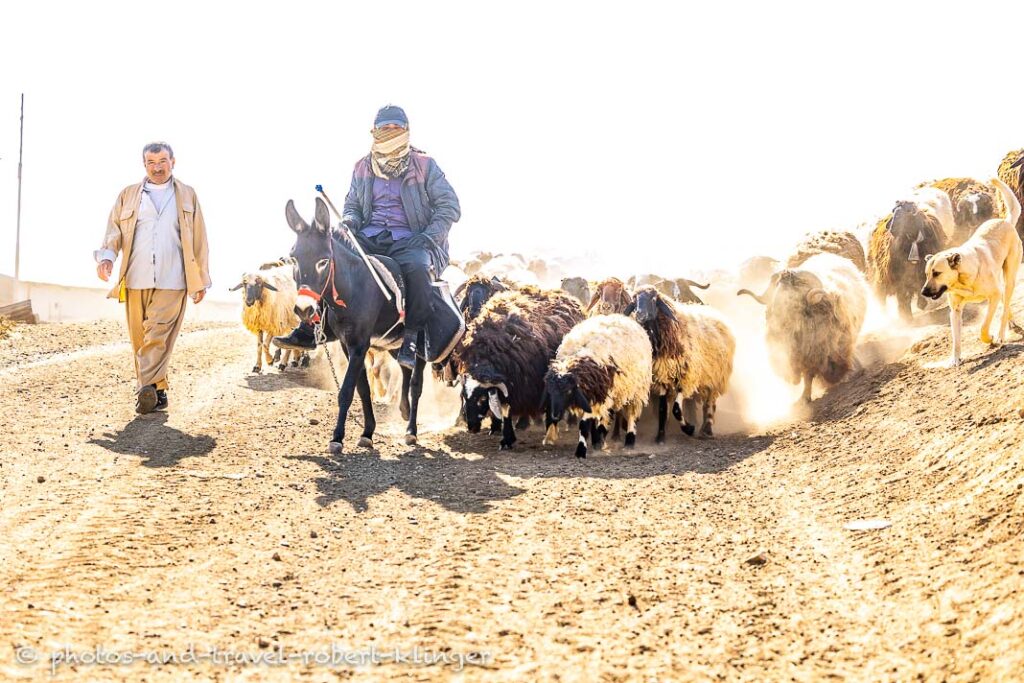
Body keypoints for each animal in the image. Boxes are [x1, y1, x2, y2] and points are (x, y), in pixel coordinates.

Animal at [458, 286, 585, 448]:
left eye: (482, 399)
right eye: (464, 397)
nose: (471, 427)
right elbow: (504, 410)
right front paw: (504, 435)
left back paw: (569, 422)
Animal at [540, 315, 651, 458]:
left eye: (569, 391)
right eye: (550, 392)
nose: (554, 416)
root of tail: (623, 317)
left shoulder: (597, 396)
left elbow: (584, 425)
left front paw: (581, 450)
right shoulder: (594, 395)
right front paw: (596, 442)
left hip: (637, 390)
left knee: (632, 414)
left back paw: (629, 442)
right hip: (613, 393)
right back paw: (600, 439)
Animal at [626, 286, 733, 440]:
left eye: (653, 298)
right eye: (634, 300)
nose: (639, 313)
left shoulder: (685, 377)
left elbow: (676, 409)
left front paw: (689, 428)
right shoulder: (662, 378)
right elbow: (663, 409)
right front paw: (660, 437)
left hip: (716, 377)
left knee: (709, 404)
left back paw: (706, 429)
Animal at [741, 253, 868, 403]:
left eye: (794, 288)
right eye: (777, 286)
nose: (775, 310)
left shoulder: (817, 354)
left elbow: (811, 375)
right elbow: (807, 377)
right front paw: (804, 398)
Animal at [925, 179, 1019, 366]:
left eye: (936, 273)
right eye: (926, 274)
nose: (923, 292)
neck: (963, 279)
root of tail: (1005, 221)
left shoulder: (993, 296)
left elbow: (984, 326)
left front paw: (990, 338)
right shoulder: (955, 311)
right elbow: (956, 339)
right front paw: (955, 359)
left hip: (1009, 278)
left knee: (1004, 307)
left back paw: (1001, 334)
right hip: (1002, 284)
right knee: (1006, 304)